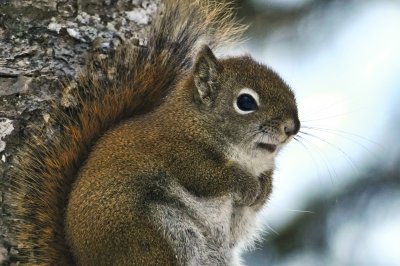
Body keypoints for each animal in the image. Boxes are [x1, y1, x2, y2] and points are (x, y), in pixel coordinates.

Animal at [3, 0, 298, 264]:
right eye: (246, 102)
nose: (292, 127)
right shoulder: (177, 152)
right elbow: (210, 176)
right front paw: (248, 186)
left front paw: (264, 188)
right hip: (153, 237)